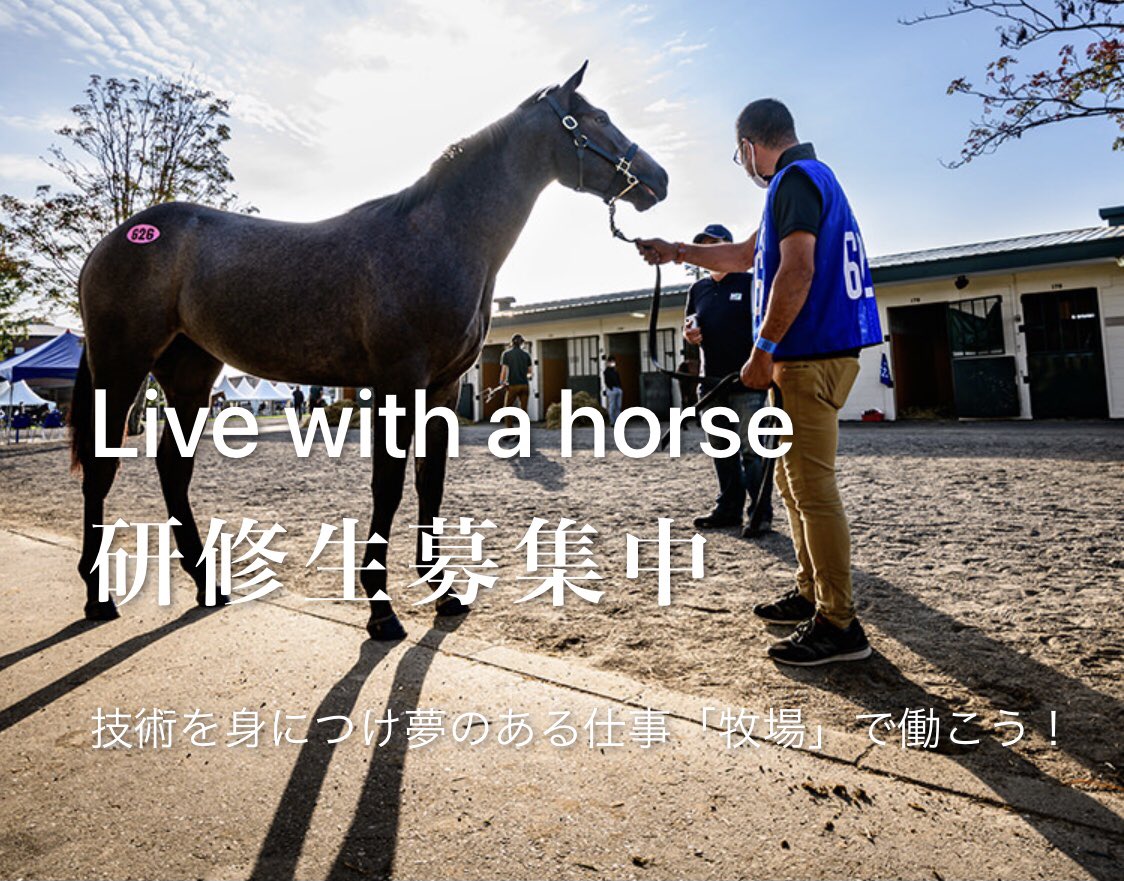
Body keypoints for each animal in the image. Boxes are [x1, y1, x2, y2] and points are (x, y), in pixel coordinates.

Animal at [68, 62, 669, 640]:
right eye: (595, 118)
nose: (658, 179)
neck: (439, 236)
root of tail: (115, 239)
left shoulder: (443, 387)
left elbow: (430, 484)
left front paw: (444, 592)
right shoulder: (397, 383)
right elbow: (389, 487)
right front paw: (381, 611)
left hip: (190, 372)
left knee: (174, 468)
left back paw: (206, 584)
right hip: (122, 367)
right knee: (101, 467)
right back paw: (98, 597)